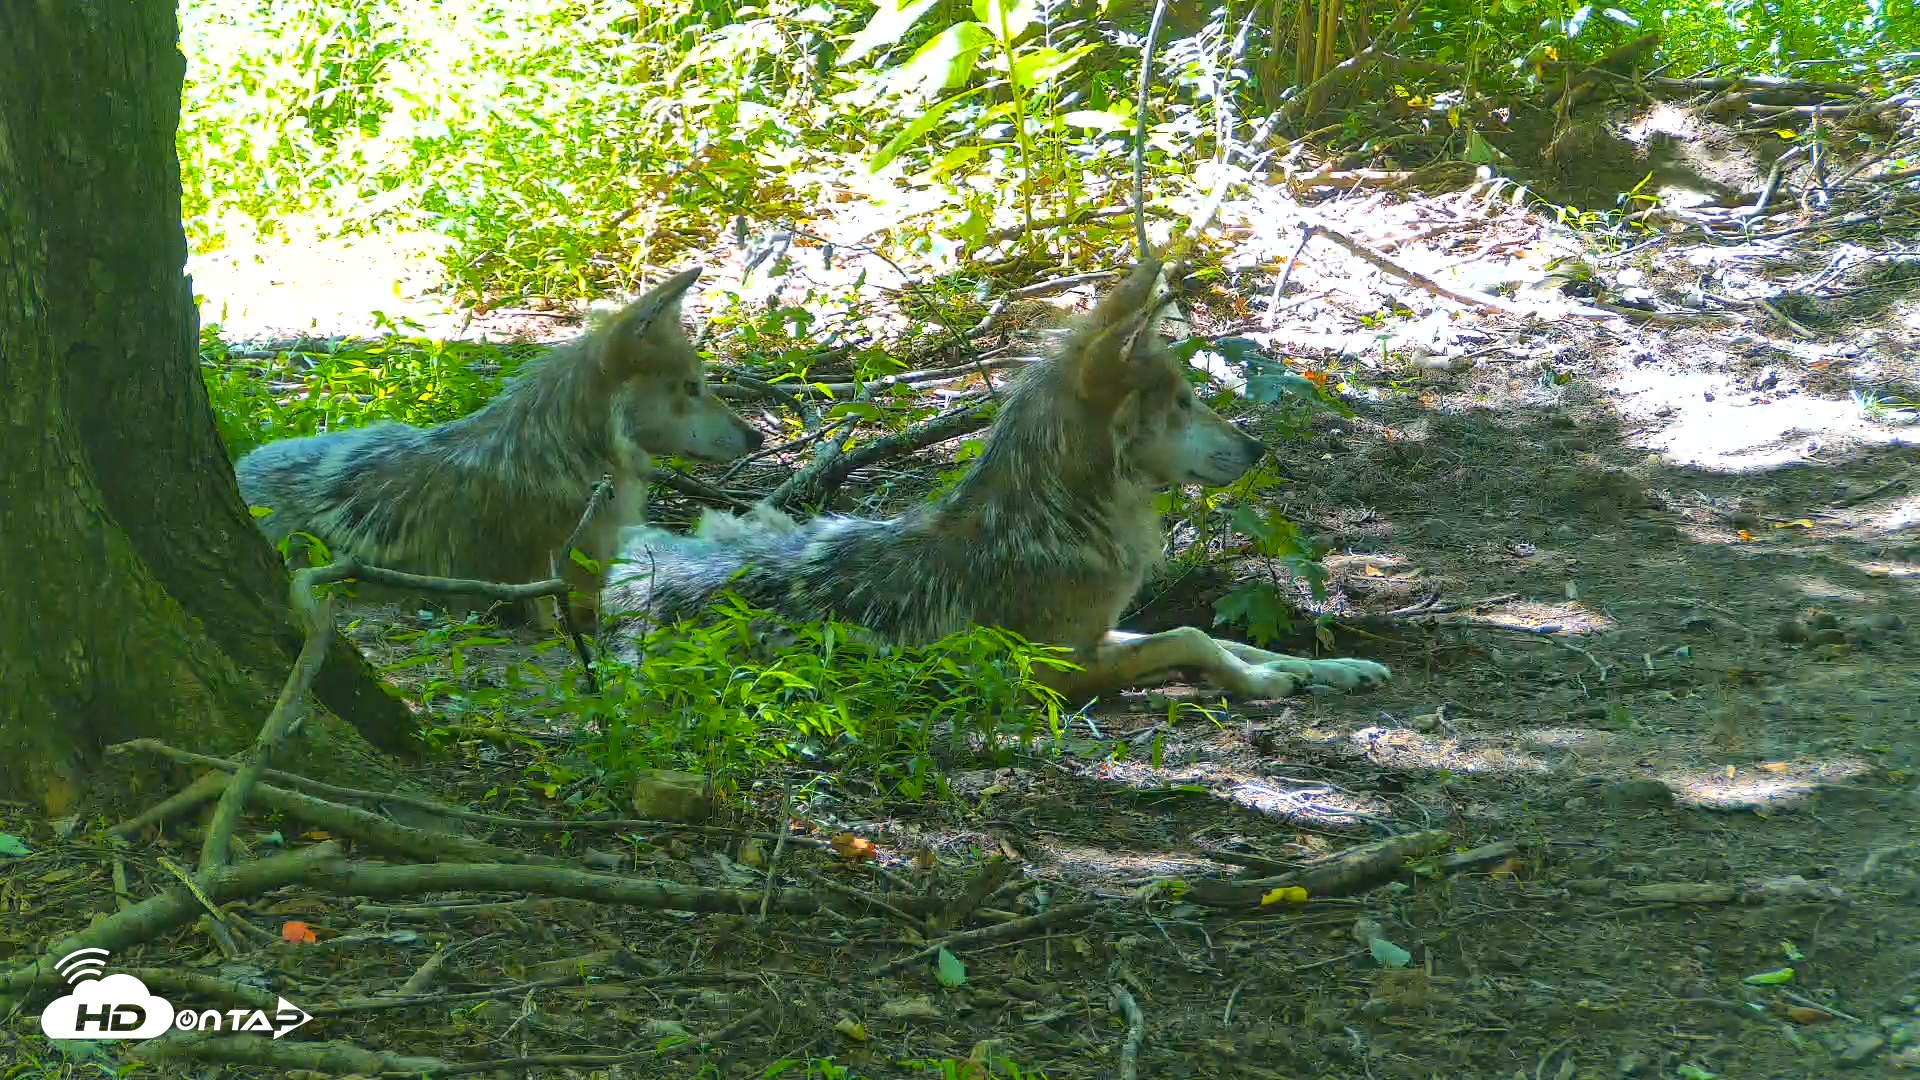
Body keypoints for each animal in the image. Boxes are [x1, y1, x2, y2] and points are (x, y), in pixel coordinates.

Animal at [600, 260, 1390, 703]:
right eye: (1185, 403)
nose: (1256, 446)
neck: (1059, 521)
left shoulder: (1101, 630)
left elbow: (1233, 638)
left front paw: (1336, 667)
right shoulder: (1056, 671)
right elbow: (1191, 636)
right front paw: (1264, 683)